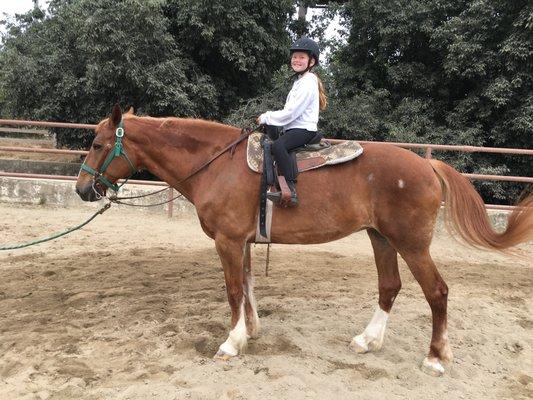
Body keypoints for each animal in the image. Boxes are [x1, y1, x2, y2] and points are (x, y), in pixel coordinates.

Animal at [76, 105, 532, 376]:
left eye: (97, 144)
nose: (82, 189)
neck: (217, 164)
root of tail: (426, 164)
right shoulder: (242, 240)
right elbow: (247, 286)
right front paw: (250, 331)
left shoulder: (227, 241)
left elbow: (233, 289)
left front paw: (230, 342)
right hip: (381, 238)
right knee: (390, 286)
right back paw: (368, 341)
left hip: (412, 245)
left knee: (436, 291)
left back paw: (436, 358)